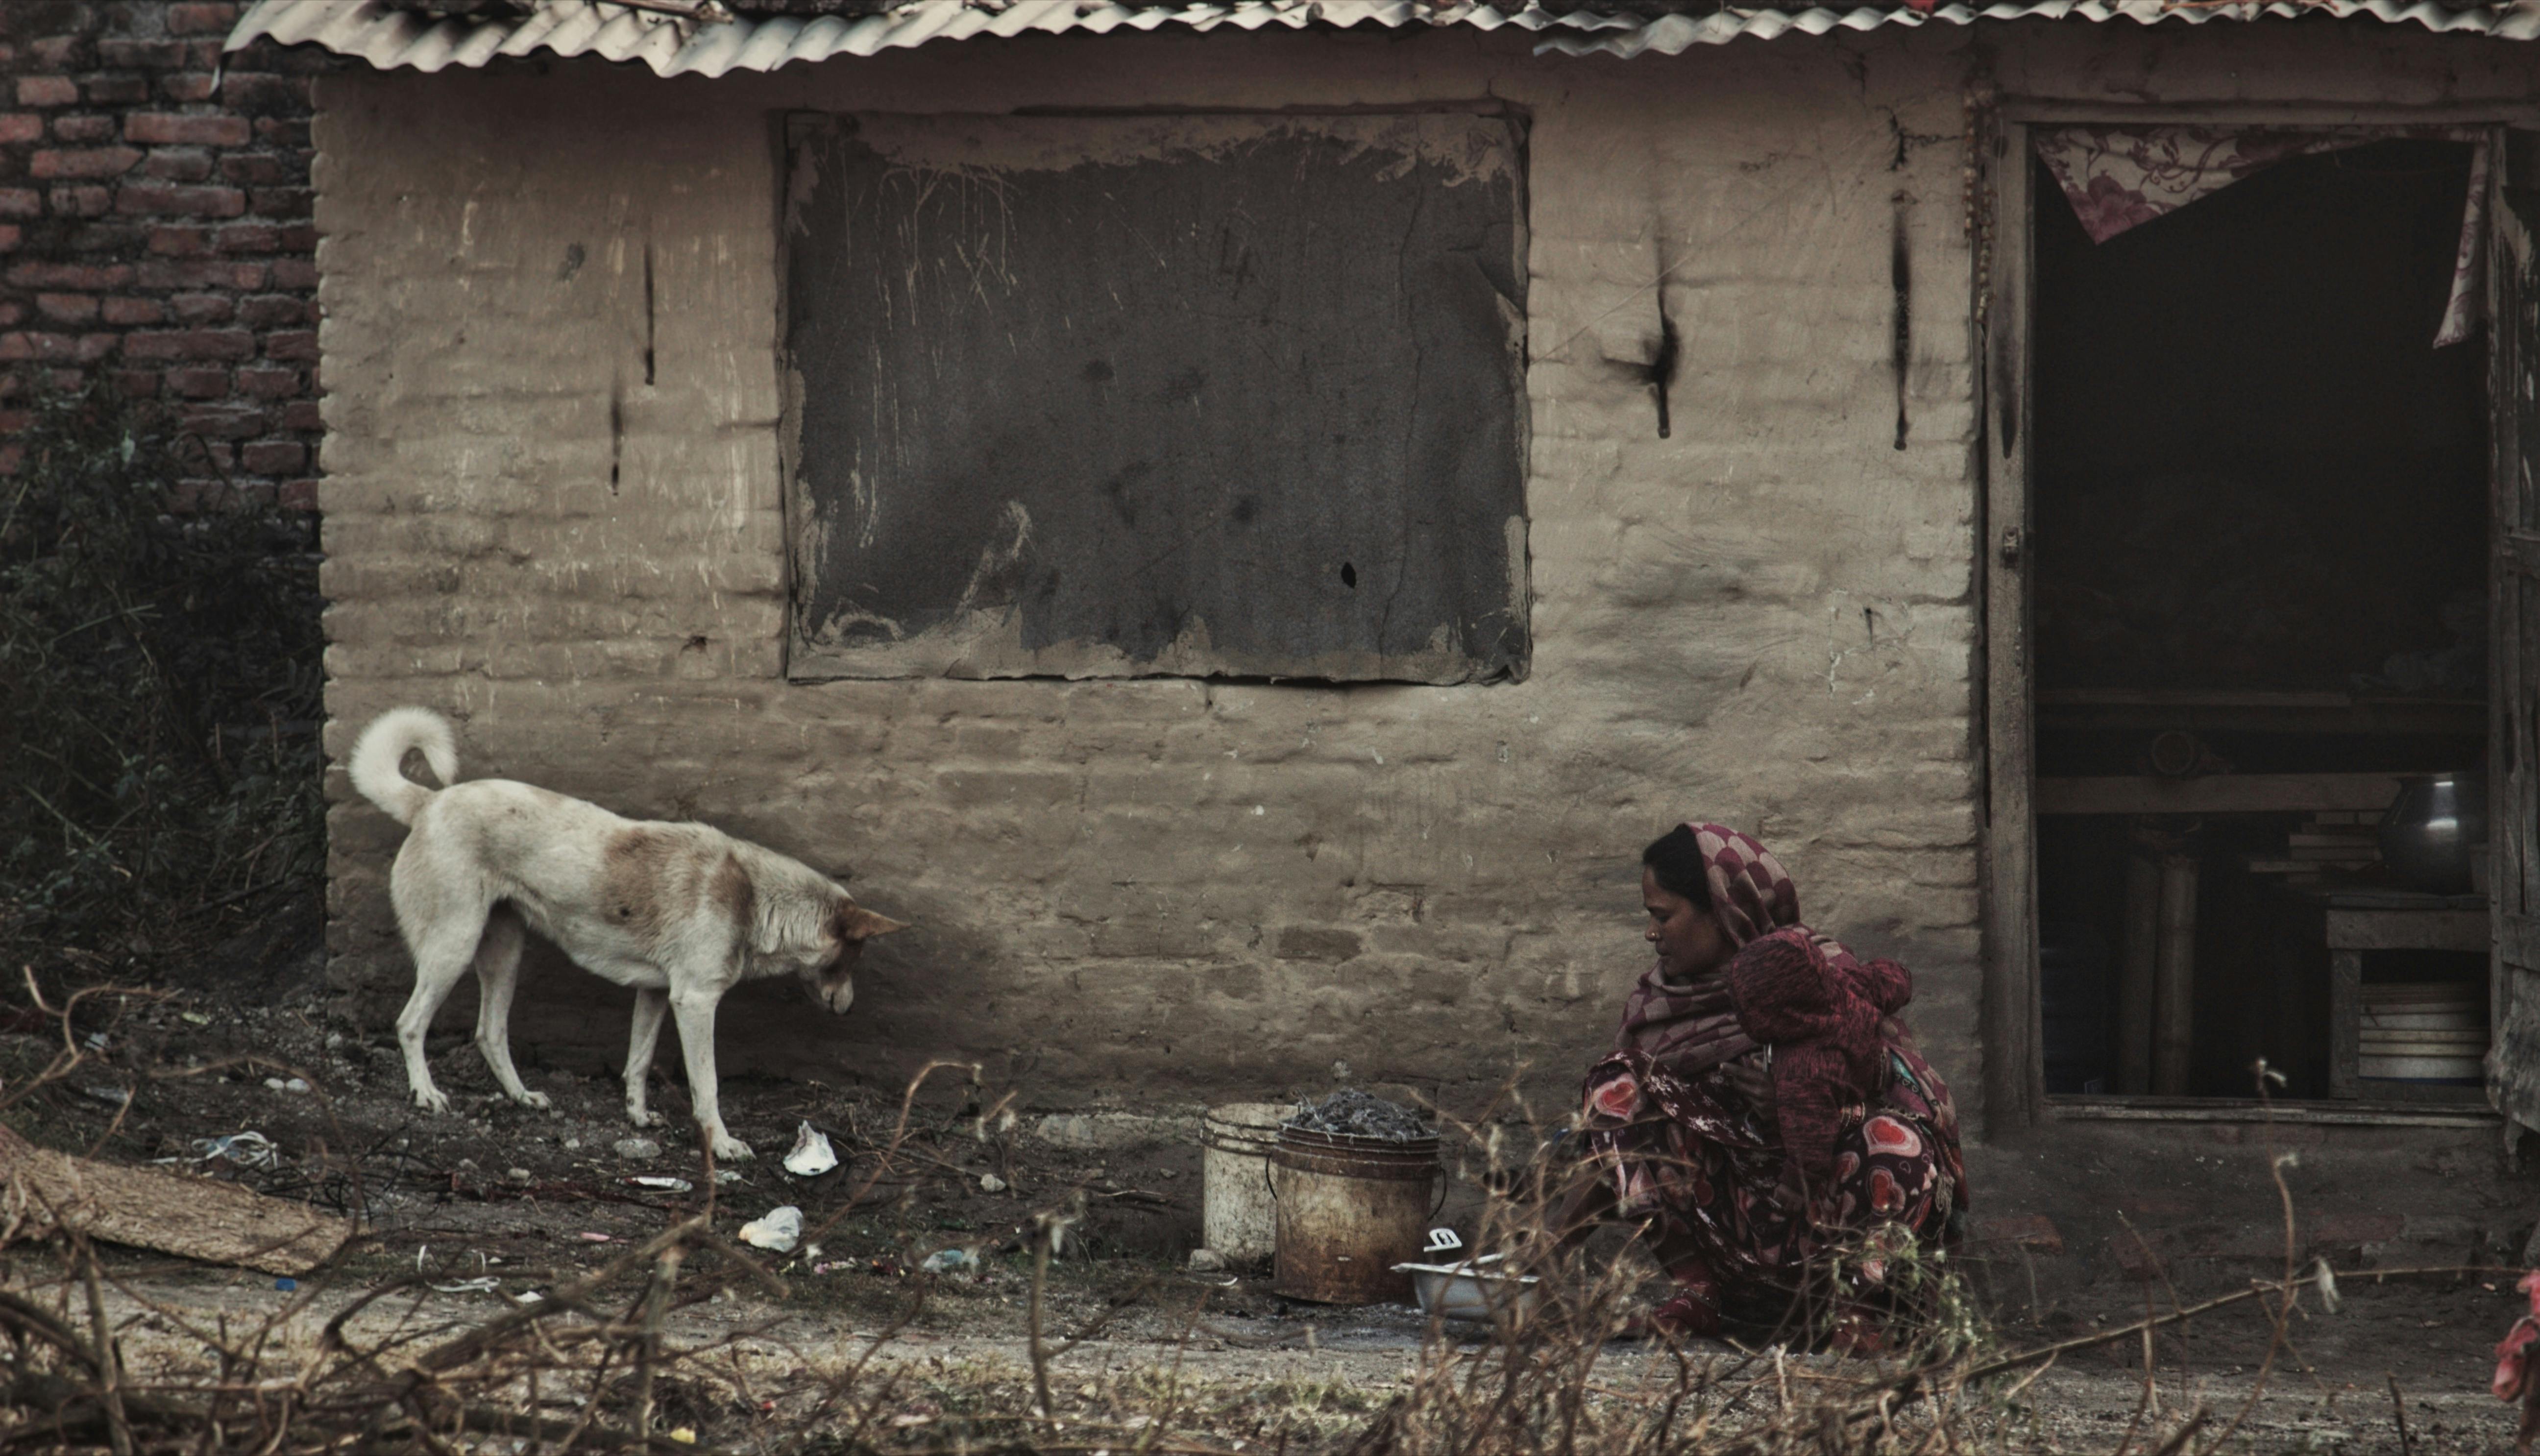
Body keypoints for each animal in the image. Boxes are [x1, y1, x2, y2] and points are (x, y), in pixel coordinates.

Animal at [342, 706, 909, 1159]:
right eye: (854, 958)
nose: (850, 1008)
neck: (753, 895)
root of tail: (428, 803)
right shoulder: (695, 1002)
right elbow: (708, 1086)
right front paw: (722, 1144)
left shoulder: (656, 994)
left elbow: (638, 1062)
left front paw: (637, 1115)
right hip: (453, 947)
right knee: (410, 1023)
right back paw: (425, 1093)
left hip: (504, 953)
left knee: (490, 1032)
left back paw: (522, 1096)